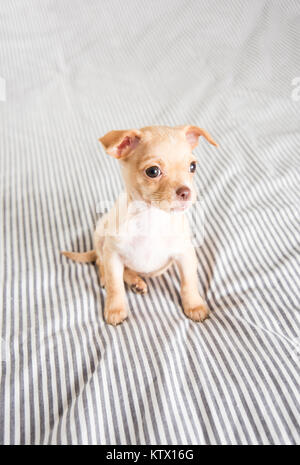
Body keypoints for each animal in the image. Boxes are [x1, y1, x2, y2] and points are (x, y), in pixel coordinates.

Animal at [62, 125, 218, 324]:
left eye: (192, 166)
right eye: (153, 171)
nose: (186, 192)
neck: (151, 218)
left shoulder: (185, 254)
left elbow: (189, 282)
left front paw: (195, 305)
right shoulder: (112, 254)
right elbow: (115, 285)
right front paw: (115, 308)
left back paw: (136, 282)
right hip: (100, 234)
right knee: (99, 261)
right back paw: (114, 279)